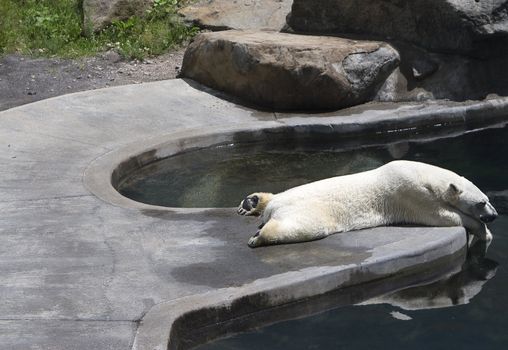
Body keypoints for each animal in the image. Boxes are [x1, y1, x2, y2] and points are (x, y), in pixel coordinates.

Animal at [237, 160, 496, 247]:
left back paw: (253, 202)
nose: (494, 215)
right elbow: (440, 215)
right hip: (308, 210)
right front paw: (484, 232)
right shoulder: (410, 191)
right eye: (481, 203)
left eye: (488, 200)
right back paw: (258, 237)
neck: (426, 175)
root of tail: (275, 207)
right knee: (302, 227)